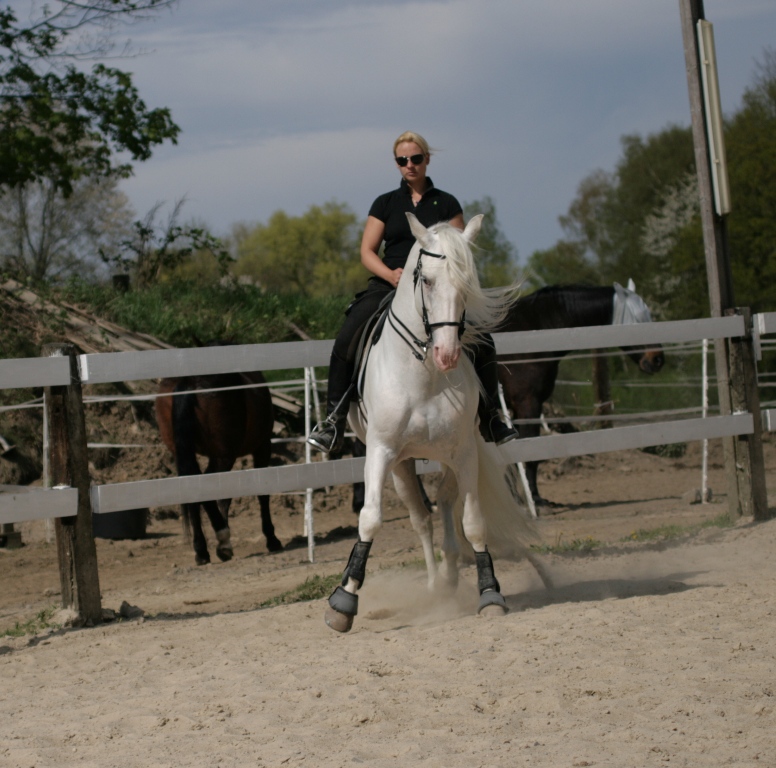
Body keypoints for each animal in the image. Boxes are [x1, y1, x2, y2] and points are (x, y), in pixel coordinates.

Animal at [154, 344, 282, 568]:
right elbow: (259, 494)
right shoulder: (262, 446)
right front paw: (272, 539)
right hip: (224, 455)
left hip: (186, 454)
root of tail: (189, 381)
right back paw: (223, 541)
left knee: (194, 489)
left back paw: (202, 550)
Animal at [322, 213, 544, 632]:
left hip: (447, 458)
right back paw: (431, 584)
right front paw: (344, 600)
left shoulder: (465, 452)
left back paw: (449, 577)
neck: (424, 374)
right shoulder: (380, 451)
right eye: (426, 280)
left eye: (467, 283)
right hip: (401, 465)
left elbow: (473, 522)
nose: (447, 354)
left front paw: (490, 592)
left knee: (443, 503)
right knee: (421, 517)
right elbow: (370, 519)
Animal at [500, 284, 664, 508]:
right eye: (639, 318)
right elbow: (531, 455)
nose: (658, 359)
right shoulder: (528, 404)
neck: (532, 330)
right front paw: (535, 499)